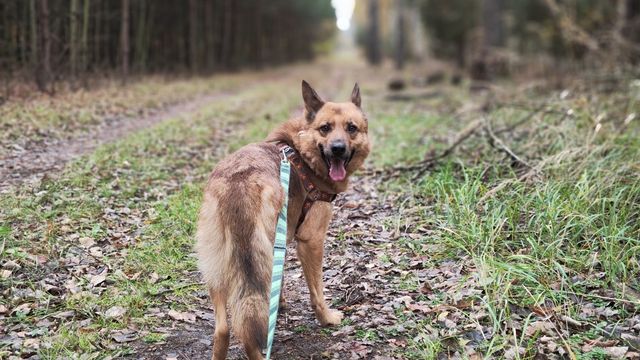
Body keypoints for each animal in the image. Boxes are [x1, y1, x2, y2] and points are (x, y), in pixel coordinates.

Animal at [195, 80, 370, 358]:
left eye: (351, 128)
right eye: (325, 128)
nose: (338, 149)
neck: (302, 152)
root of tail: (238, 183)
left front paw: (281, 302)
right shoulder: (311, 241)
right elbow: (316, 291)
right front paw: (327, 319)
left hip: (217, 263)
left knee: (224, 328)